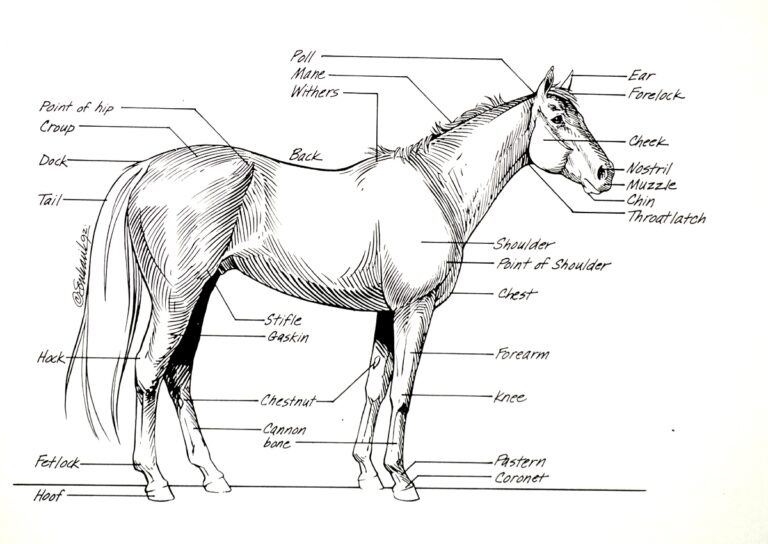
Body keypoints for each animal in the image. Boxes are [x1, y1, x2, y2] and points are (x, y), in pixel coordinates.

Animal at [67, 67, 614, 502]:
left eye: (580, 113)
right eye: (557, 117)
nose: (606, 173)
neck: (436, 190)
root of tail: (147, 169)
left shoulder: (388, 312)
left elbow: (376, 385)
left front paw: (368, 473)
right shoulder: (415, 310)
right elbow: (402, 392)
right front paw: (400, 479)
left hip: (197, 295)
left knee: (178, 375)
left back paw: (213, 475)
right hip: (178, 297)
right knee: (149, 371)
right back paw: (156, 480)